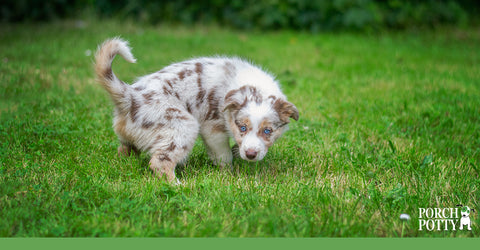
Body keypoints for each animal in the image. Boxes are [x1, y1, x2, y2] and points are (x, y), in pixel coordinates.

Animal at [94, 38, 298, 184]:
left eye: (268, 131)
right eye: (242, 128)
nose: (250, 155)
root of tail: (130, 95)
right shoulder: (212, 129)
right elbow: (223, 155)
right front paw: (229, 174)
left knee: (125, 150)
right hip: (183, 126)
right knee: (160, 162)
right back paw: (178, 185)